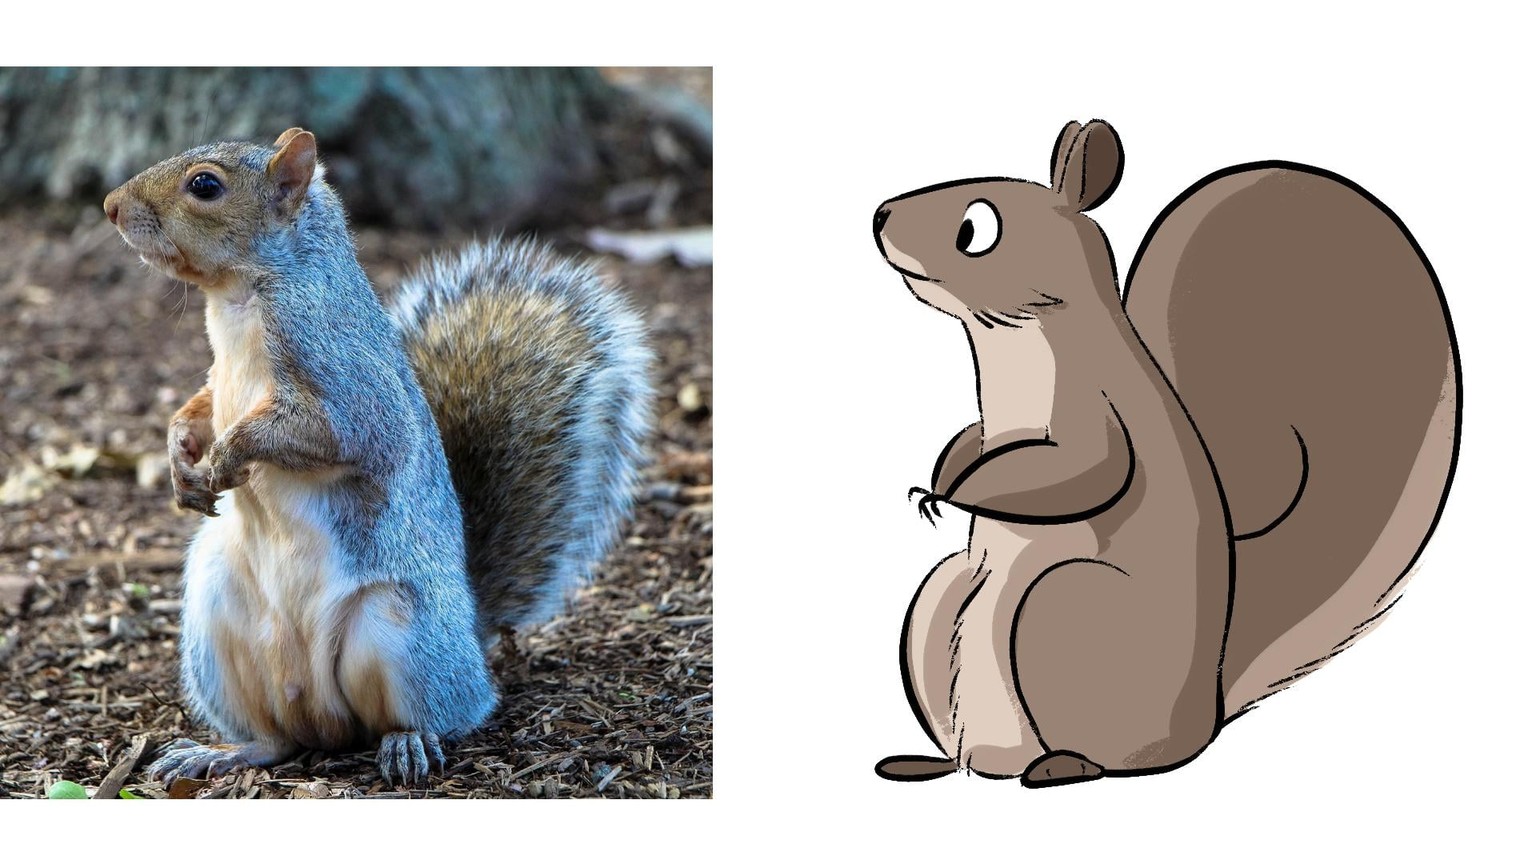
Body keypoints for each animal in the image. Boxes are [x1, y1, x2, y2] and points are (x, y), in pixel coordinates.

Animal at [102, 128, 653, 786]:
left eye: (205, 185)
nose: (110, 206)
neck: (238, 298)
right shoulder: (219, 377)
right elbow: (201, 406)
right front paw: (180, 457)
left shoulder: (343, 375)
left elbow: (336, 433)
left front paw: (224, 457)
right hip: (215, 619)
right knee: (277, 739)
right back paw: (224, 752)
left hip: (399, 631)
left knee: (432, 715)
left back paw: (407, 743)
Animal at [871, 119, 1459, 786]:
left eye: (976, 229)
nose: (879, 215)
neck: (1018, 349)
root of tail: (1206, 716)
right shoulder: (993, 425)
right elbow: (971, 437)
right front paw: (944, 470)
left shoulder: (1095, 414)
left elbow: (1083, 470)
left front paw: (952, 491)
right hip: (941, 600)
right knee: (968, 753)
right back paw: (929, 762)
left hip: (1063, 608)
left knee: (1101, 754)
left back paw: (1062, 766)